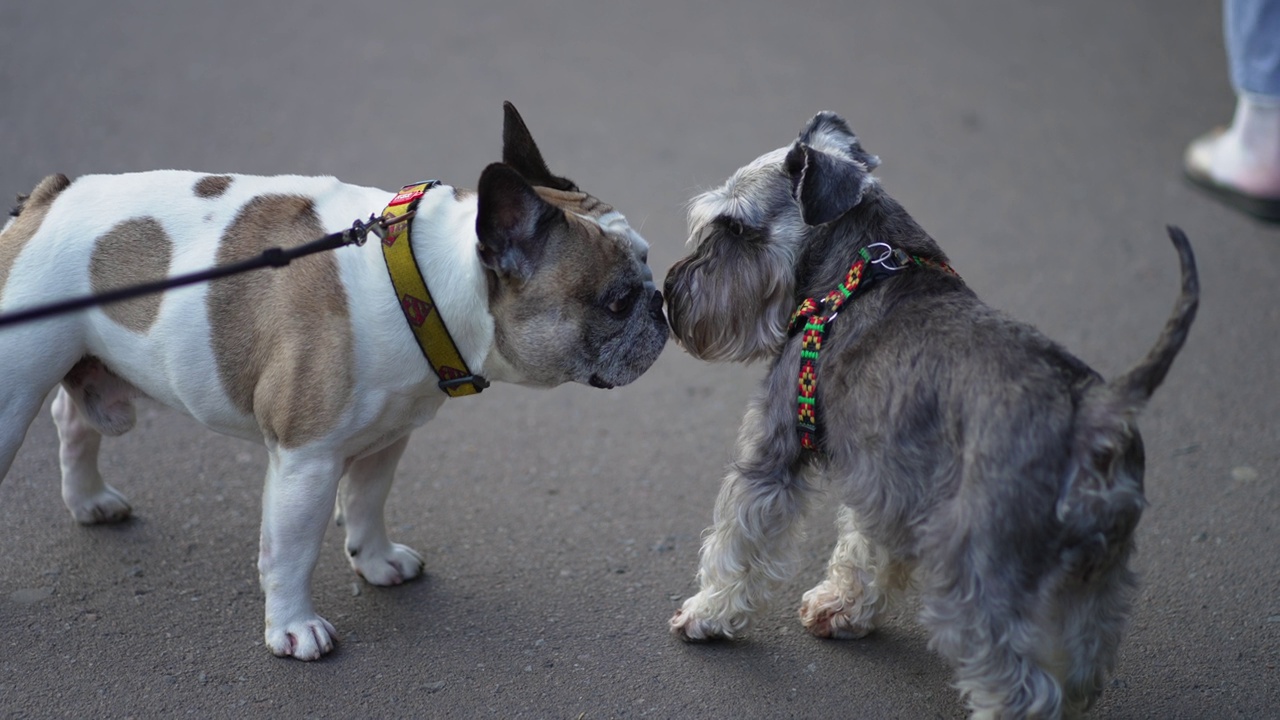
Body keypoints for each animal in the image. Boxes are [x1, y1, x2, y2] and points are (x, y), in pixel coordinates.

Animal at [665, 109, 1192, 712]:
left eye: (735, 228)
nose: (671, 292)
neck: (861, 267)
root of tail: (1095, 413)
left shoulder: (774, 451)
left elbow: (737, 539)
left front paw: (706, 613)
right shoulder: (888, 479)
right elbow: (863, 546)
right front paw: (841, 608)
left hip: (978, 572)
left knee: (1019, 685)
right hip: (1095, 579)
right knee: (1081, 668)